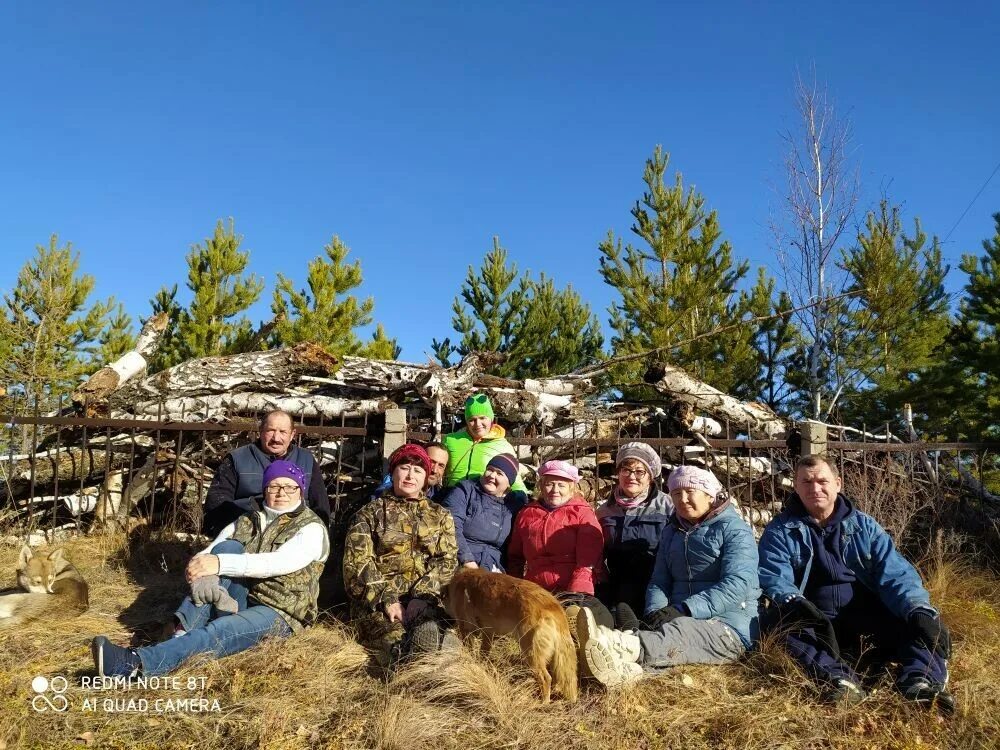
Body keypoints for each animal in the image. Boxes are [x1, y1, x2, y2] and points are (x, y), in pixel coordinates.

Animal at [444, 568, 580, 704]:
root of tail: (553, 608)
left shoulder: (466, 631)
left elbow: (470, 650)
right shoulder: (488, 634)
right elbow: (483, 653)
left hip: (531, 652)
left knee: (546, 678)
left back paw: (544, 702)